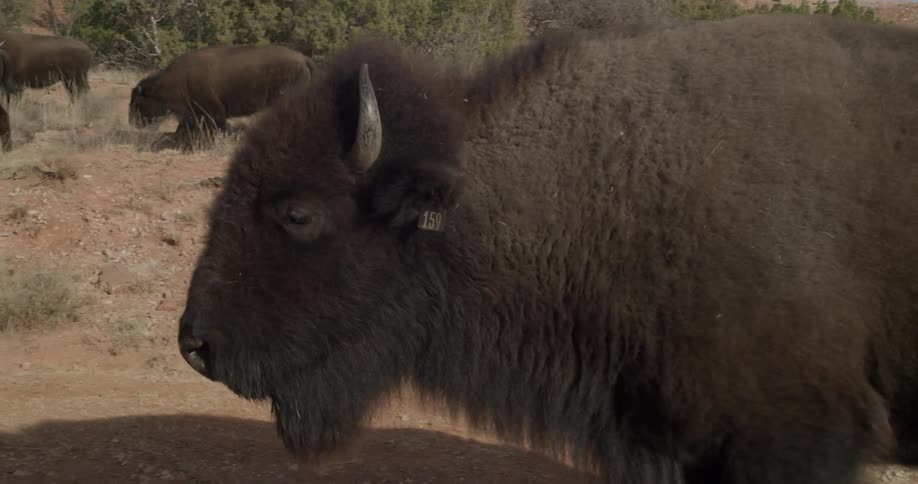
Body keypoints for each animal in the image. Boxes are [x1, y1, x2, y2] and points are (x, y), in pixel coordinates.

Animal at [129, 44, 316, 151]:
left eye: (138, 102)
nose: (132, 122)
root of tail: (303, 59)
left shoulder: (212, 112)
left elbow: (219, 127)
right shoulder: (193, 115)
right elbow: (182, 129)